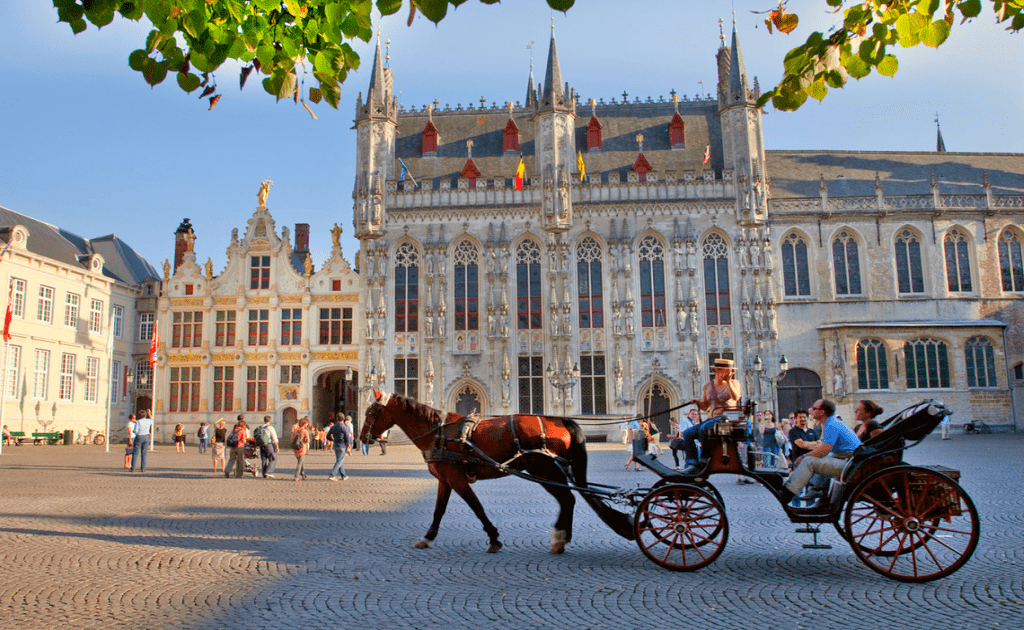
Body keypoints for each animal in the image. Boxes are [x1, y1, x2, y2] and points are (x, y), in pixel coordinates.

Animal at [360, 391, 630, 553]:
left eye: (371, 412)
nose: (363, 438)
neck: (438, 432)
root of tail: (561, 419)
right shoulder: (445, 480)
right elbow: (439, 511)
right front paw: (427, 538)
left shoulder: (457, 479)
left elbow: (477, 507)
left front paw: (494, 539)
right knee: (570, 499)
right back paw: (561, 540)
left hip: (543, 469)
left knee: (567, 498)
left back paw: (558, 538)